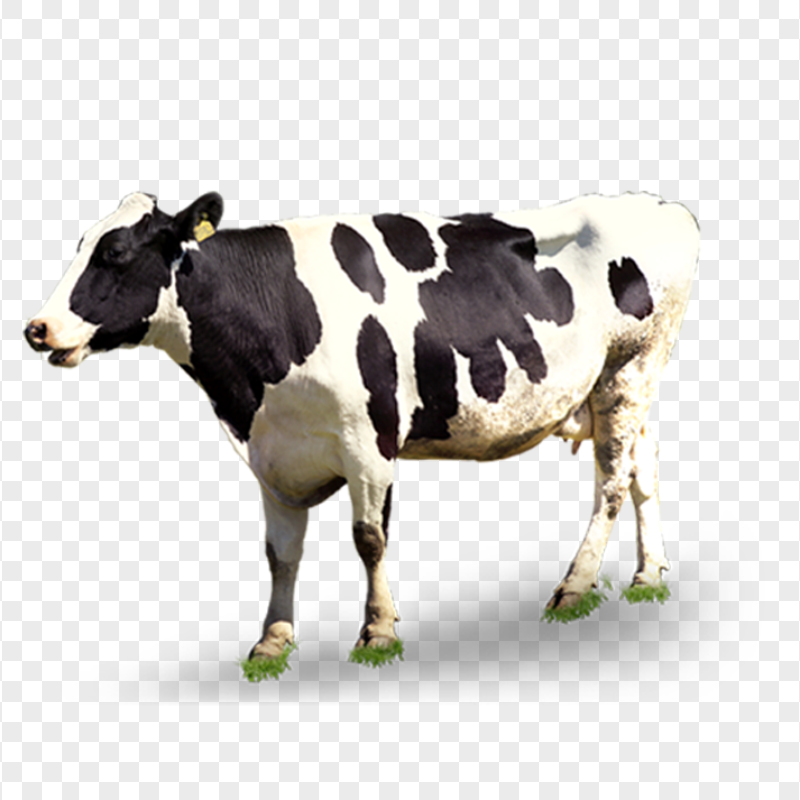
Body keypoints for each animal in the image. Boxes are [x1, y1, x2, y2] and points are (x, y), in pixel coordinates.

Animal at [25, 191, 699, 675]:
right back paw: (648, 574)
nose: (37, 328)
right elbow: (280, 554)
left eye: (114, 253)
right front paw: (273, 640)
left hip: (628, 370)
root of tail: (662, 205)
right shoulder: (273, 453)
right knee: (644, 465)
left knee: (610, 482)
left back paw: (574, 587)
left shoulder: (368, 441)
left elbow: (369, 539)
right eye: (80, 243)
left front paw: (376, 631)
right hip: (618, 390)